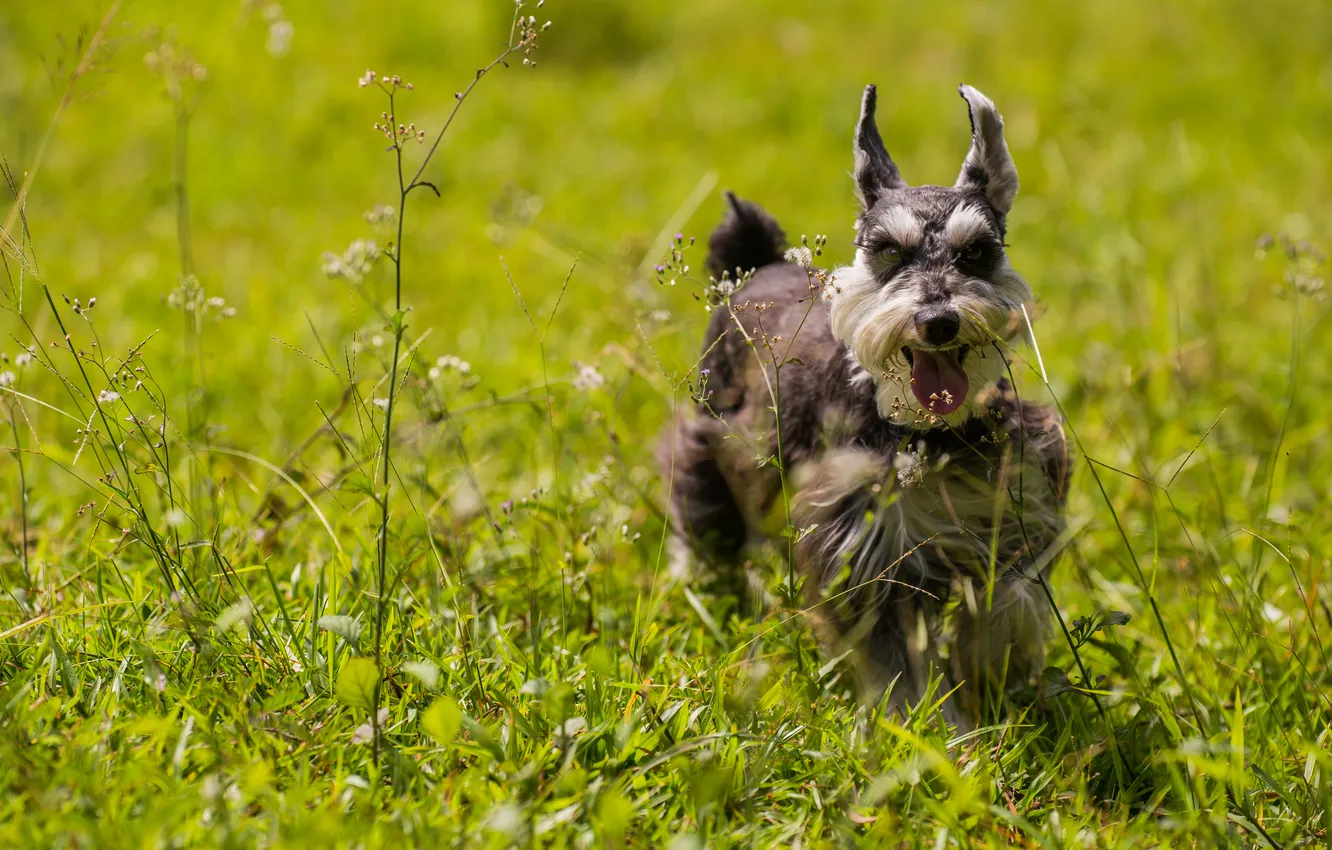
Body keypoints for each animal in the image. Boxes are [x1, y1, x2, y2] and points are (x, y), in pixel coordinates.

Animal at [666, 84, 1070, 724]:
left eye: (977, 252)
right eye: (886, 250)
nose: (937, 320)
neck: (927, 432)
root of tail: (756, 268)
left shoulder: (1022, 495)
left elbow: (1009, 595)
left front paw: (987, 669)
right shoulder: (860, 544)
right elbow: (894, 656)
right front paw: (933, 729)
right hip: (711, 435)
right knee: (697, 503)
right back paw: (696, 579)